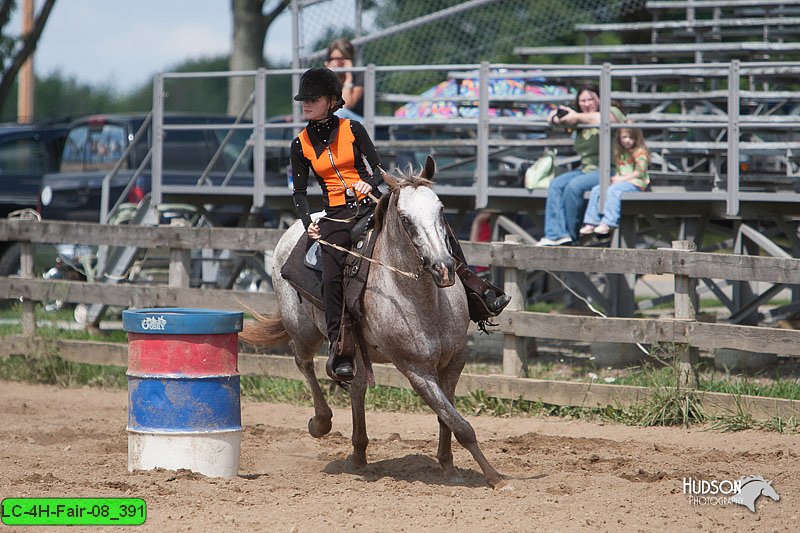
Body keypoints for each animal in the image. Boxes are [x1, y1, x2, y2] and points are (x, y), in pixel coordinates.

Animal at [241, 158, 510, 490]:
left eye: (441, 210)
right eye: (406, 220)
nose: (445, 268)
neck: (424, 301)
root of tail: (297, 227)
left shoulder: (454, 361)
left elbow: (446, 416)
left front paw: (449, 467)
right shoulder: (416, 371)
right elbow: (460, 424)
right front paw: (495, 477)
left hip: (353, 347)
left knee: (356, 387)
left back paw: (359, 454)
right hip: (304, 331)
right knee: (302, 362)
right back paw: (321, 422)